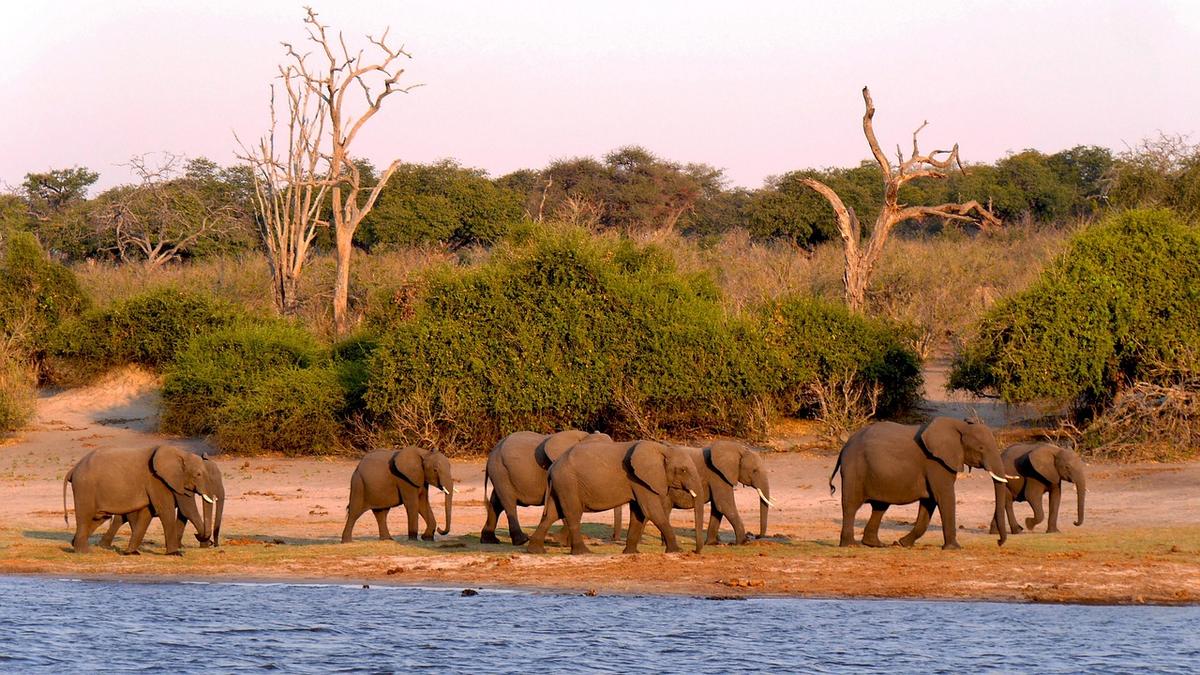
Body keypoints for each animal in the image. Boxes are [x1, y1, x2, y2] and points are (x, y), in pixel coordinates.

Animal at [63, 445, 218, 555]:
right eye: (198, 474)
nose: (208, 541)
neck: (180, 453)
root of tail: (73, 469)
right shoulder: (156, 479)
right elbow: (166, 510)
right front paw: (175, 553)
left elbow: (147, 513)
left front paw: (131, 553)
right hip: (85, 487)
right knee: (85, 515)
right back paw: (85, 552)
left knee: (99, 518)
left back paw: (75, 545)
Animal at [480, 429, 615, 545]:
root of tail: (492, 452)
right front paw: (563, 542)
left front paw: (564, 543)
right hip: (501, 471)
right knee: (508, 503)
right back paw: (522, 541)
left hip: (501, 473)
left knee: (496, 503)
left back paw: (489, 541)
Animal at [526, 439, 704, 555]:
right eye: (683, 470)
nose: (694, 551)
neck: (661, 449)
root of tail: (552, 467)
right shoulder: (639, 479)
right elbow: (652, 511)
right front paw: (676, 551)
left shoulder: (639, 481)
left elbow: (638, 513)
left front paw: (631, 553)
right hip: (568, 483)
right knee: (572, 514)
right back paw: (584, 552)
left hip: (561, 485)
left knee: (551, 515)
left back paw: (536, 551)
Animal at [829, 417, 1012, 550]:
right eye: (981, 448)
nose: (998, 542)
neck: (960, 425)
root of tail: (845, 446)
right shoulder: (936, 463)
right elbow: (944, 497)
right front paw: (954, 548)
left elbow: (928, 504)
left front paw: (902, 543)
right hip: (855, 469)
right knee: (851, 505)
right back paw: (850, 545)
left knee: (880, 507)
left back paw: (876, 544)